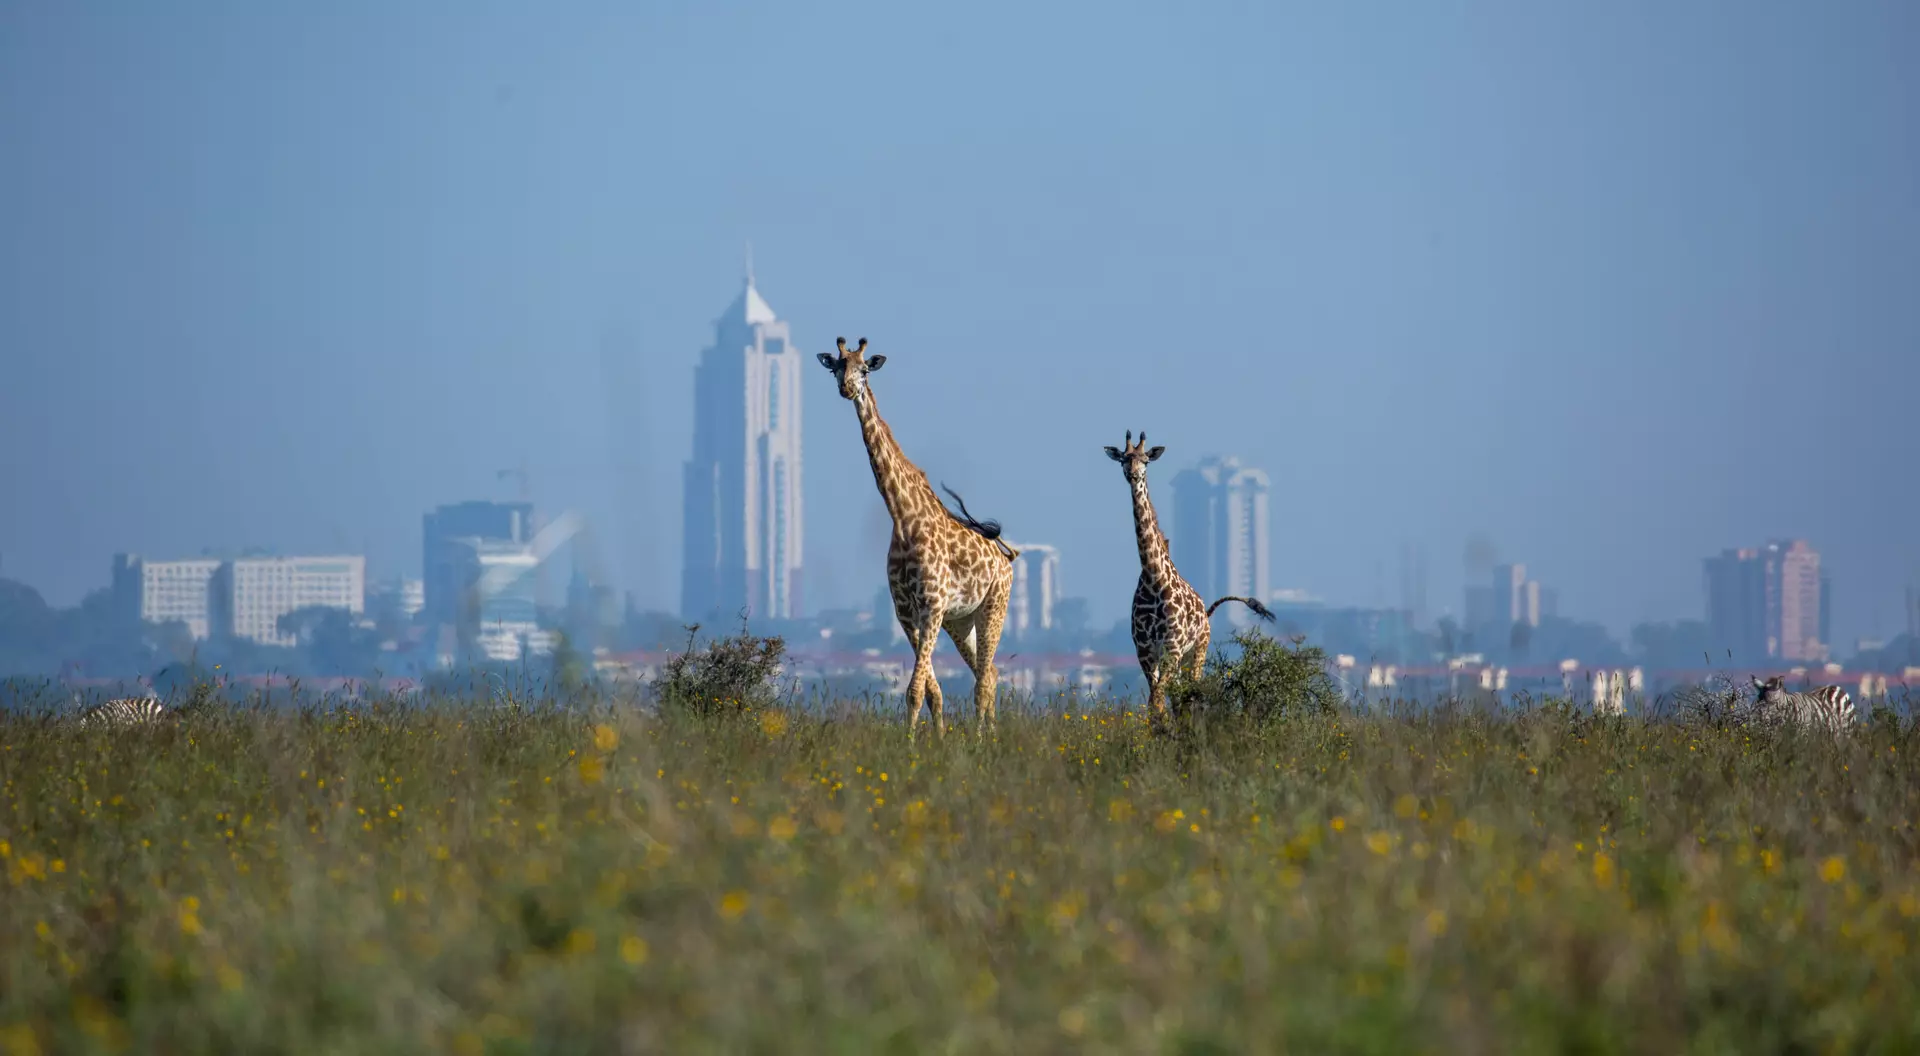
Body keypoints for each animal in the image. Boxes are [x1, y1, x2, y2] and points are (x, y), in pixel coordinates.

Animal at [818, 337, 1020, 736]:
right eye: (836, 367)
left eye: (864, 369)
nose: (847, 389)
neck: (902, 517)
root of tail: (1006, 559)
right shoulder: (906, 612)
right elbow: (930, 691)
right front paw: (933, 740)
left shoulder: (932, 606)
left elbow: (914, 689)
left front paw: (911, 744)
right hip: (961, 621)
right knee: (989, 671)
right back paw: (989, 734)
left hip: (993, 607)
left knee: (984, 679)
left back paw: (982, 740)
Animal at [1104, 430, 1274, 724]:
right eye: (1124, 459)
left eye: (1145, 460)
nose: (1133, 474)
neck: (1153, 577)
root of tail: (1207, 613)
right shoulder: (1145, 650)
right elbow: (1155, 703)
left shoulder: (1171, 647)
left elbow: (1158, 701)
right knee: (1179, 698)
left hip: (1198, 651)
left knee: (1192, 693)